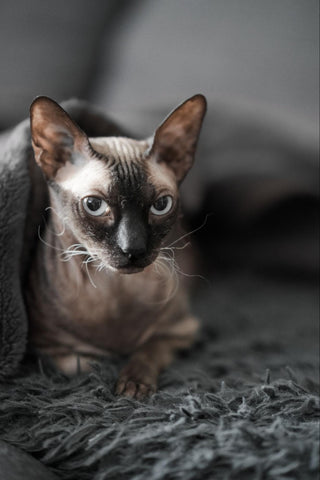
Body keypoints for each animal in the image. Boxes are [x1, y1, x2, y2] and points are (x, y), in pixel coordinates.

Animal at [26, 93, 206, 398]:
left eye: (161, 205)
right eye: (94, 205)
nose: (133, 249)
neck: (114, 288)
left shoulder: (182, 331)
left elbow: (148, 350)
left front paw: (133, 383)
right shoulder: (45, 344)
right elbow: (80, 364)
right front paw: (103, 369)